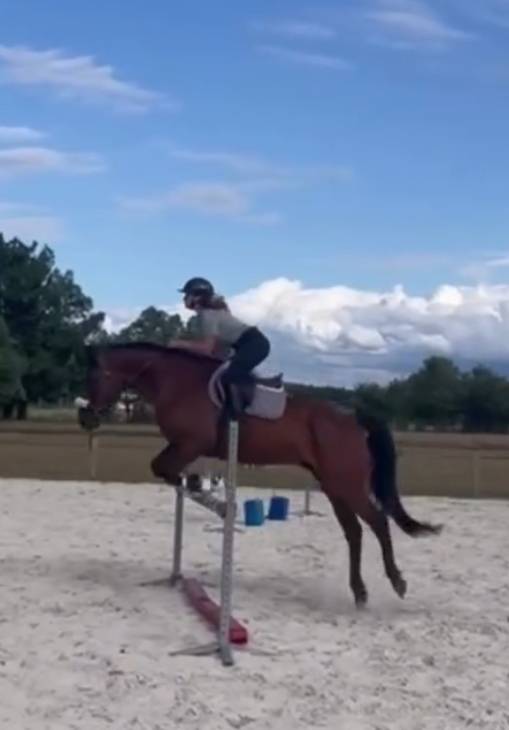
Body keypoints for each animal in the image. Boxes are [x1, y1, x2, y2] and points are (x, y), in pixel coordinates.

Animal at [78, 341, 442, 608]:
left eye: (94, 377)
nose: (86, 419)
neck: (174, 381)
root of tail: (354, 418)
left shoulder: (190, 443)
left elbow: (163, 469)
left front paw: (205, 496)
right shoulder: (186, 447)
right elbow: (167, 469)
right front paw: (197, 488)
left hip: (347, 484)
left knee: (378, 522)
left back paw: (396, 581)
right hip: (333, 487)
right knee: (354, 532)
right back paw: (360, 591)